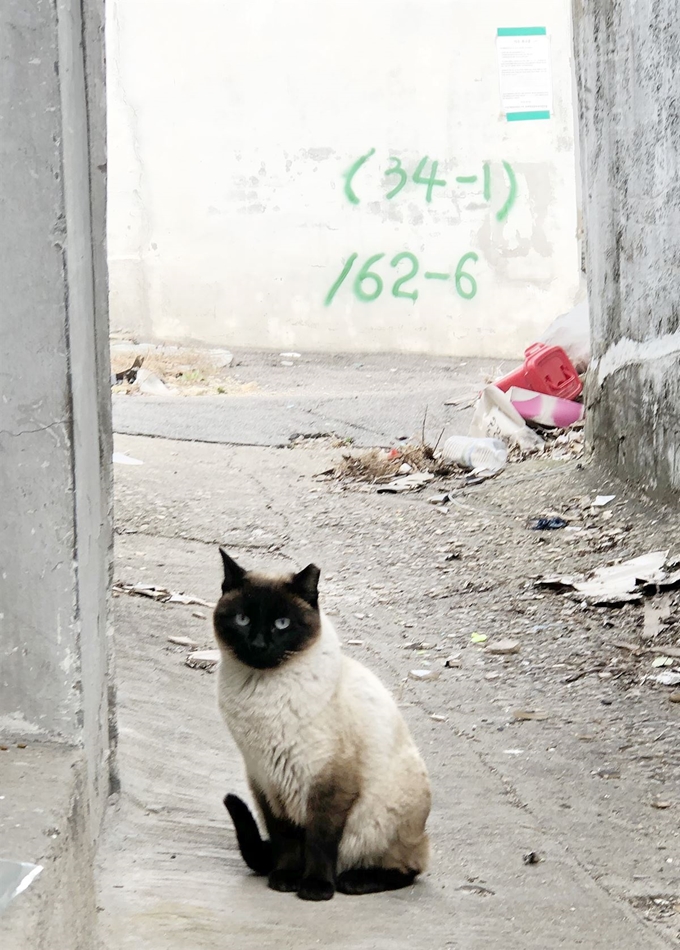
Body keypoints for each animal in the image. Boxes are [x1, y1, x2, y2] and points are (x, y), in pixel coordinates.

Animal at [215, 552, 430, 900]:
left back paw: (354, 881)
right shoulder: (267, 780)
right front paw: (285, 879)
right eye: (242, 620)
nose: (258, 644)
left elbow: (321, 840)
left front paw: (315, 889)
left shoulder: (328, 782)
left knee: (409, 869)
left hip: (379, 821)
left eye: (282, 624)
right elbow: (285, 838)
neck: (262, 694)